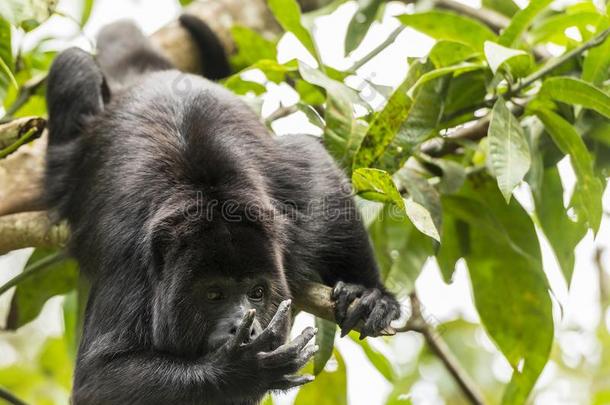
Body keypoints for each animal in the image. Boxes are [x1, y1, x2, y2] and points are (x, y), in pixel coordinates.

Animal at [46, 14, 400, 402]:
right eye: (214, 294)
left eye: (257, 293)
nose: (243, 329)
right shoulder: (127, 259)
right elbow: (97, 381)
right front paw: (243, 370)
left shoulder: (294, 205)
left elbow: (318, 171)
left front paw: (368, 293)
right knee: (74, 63)